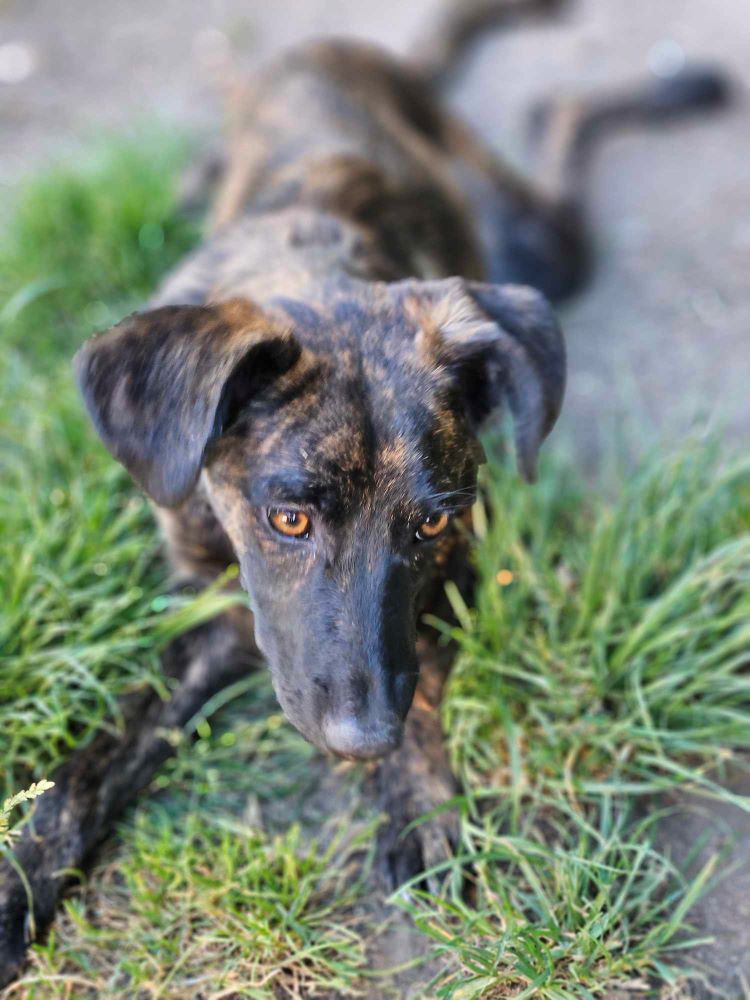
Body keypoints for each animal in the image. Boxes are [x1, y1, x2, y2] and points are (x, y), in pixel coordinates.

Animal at [0, 0, 728, 984]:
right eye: (288, 517)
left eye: (430, 524)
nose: (361, 744)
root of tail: (346, 48)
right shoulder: (210, 604)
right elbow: (101, 751)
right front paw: (22, 880)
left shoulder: (463, 561)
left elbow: (421, 675)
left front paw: (418, 798)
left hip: (539, 242)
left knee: (557, 113)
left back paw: (678, 83)